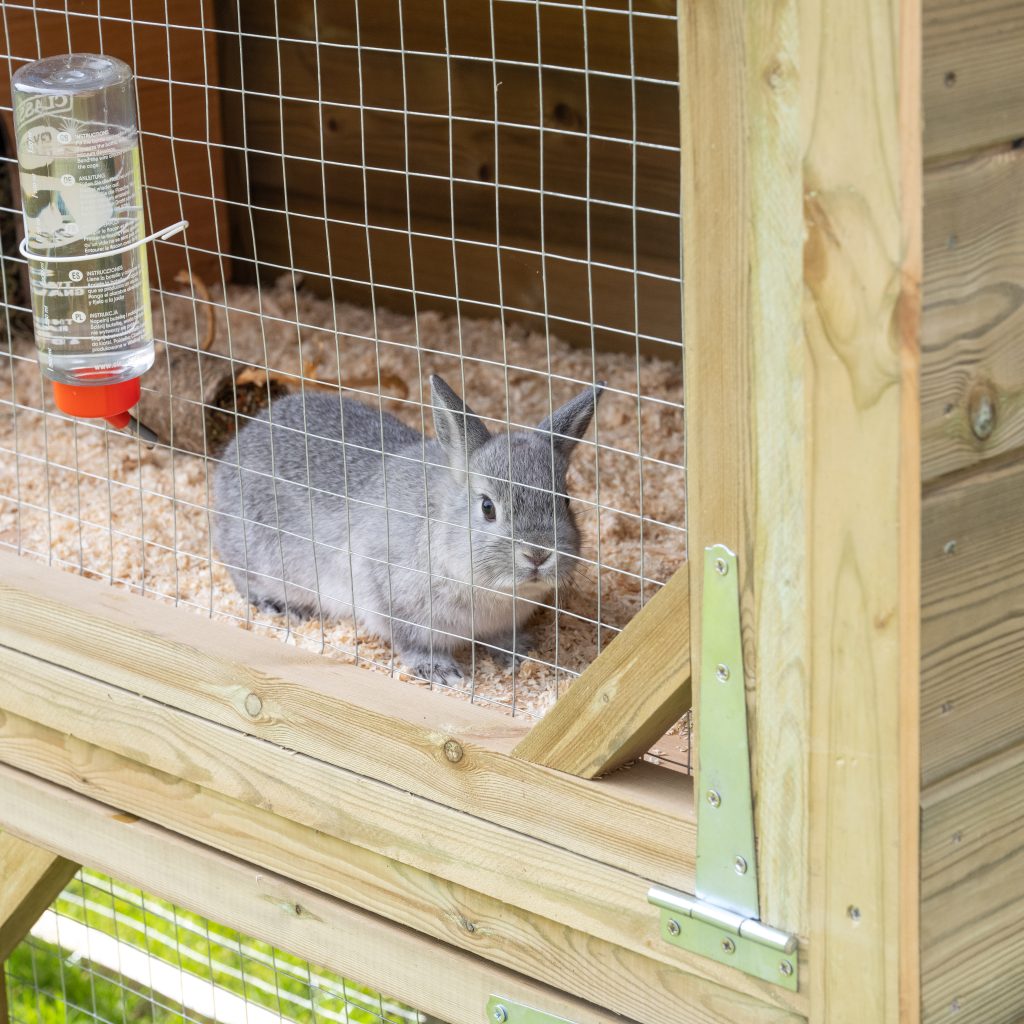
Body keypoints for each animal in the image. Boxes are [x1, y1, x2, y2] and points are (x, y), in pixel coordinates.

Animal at [212, 374, 604, 686]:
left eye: (566, 500)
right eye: (487, 507)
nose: (537, 553)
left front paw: (522, 655)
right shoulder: (393, 602)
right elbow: (412, 644)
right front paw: (443, 673)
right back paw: (278, 606)